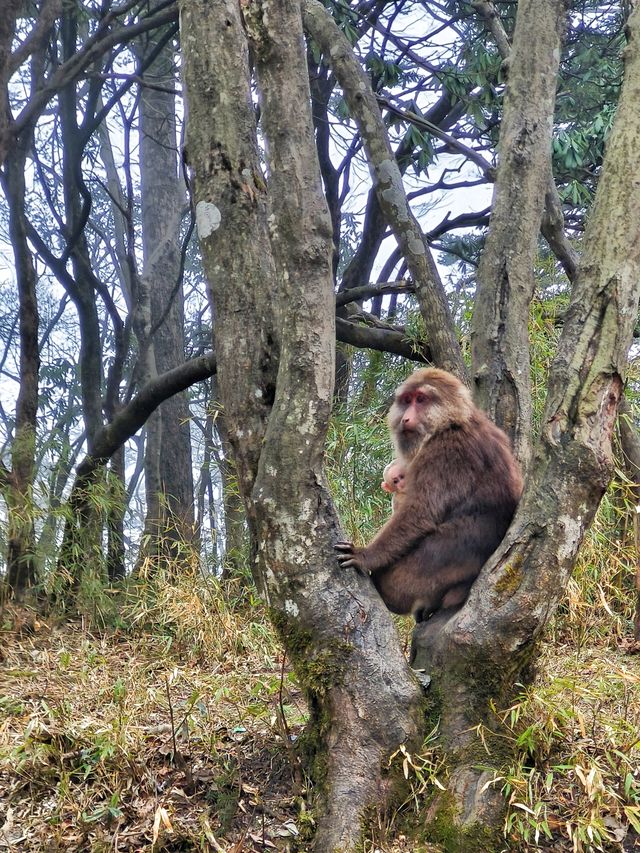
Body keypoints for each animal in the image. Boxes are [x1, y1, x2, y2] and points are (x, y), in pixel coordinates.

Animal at [332, 366, 524, 620]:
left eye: (421, 399)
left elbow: (420, 512)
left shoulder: (445, 453)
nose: (405, 418)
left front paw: (366, 555)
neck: (450, 424)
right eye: (406, 400)